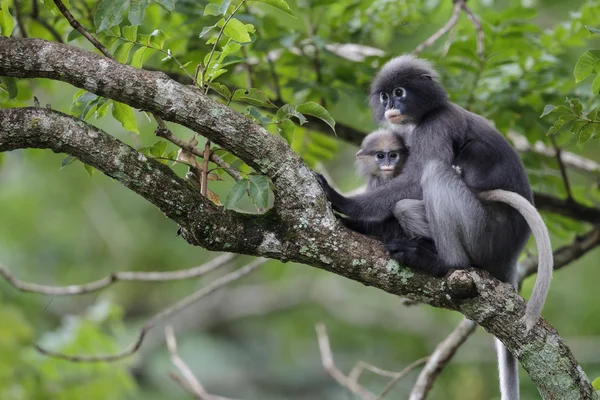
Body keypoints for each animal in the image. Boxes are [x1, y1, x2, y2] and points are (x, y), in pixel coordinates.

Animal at [314, 55, 552, 400]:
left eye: (399, 92)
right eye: (384, 96)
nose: (391, 105)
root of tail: (511, 255)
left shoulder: (436, 125)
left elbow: (414, 180)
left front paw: (341, 200)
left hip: (486, 233)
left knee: (434, 173)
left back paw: (442, 262)